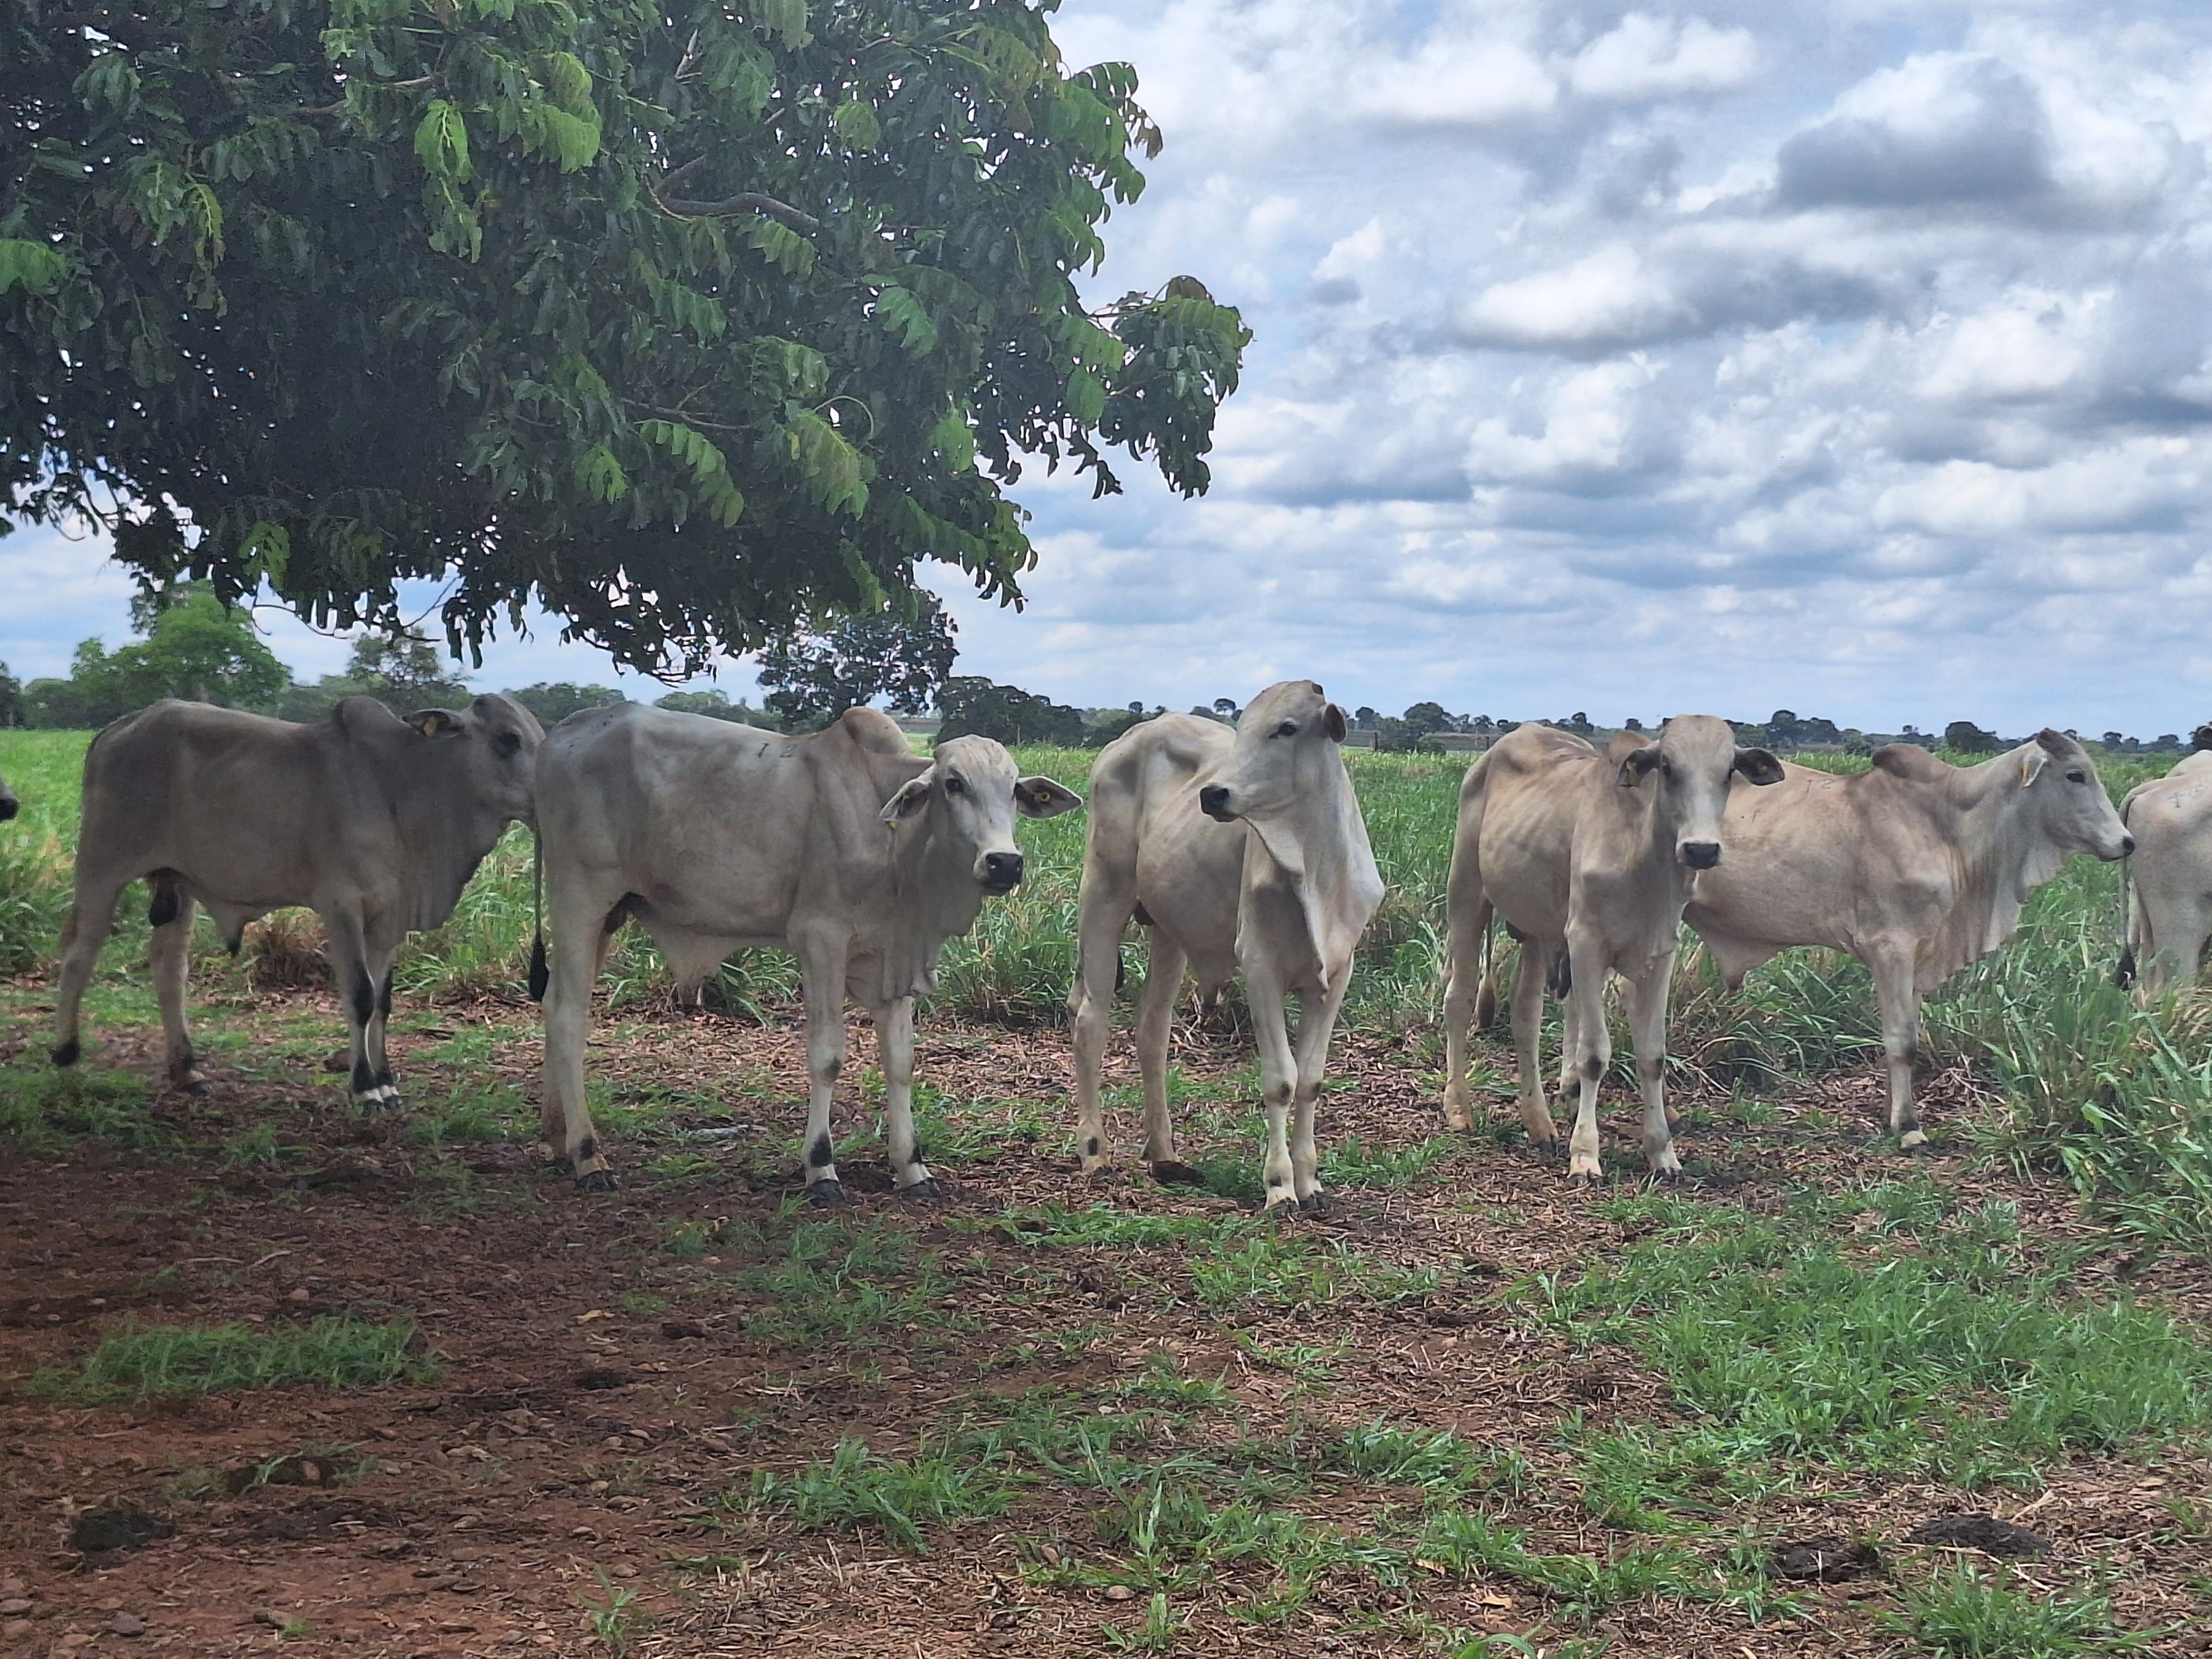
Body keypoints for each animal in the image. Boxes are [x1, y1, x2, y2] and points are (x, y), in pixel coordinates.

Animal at [53, 695, 544, 1110]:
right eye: (509, 739)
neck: (402, 785)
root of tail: (119, 727)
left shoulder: (389, 916)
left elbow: (383, 1001)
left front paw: (386, 1080)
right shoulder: (341, 905)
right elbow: (361, 996)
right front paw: (365, 1087)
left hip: (177, 884)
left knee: (169, 969)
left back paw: (186, 1069)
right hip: (102, 867)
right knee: (79, 954)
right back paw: (65, 1053)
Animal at [539, 703, 1084, 1194]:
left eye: (1013, 790)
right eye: (954, 784)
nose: (1004, 863)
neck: (891, 835)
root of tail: (563, 732)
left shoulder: (892, 956)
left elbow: (901, 1062)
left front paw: (912, 1167)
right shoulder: (820, 939)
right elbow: (827, 1057)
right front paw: (821, 1168)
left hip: (609, 915)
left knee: (552, 1005)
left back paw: (556, 1138)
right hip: (580, 899)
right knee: (568, 1016)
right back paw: (588, 1155)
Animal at [1066, 681, 1380, 1212]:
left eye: (1287, 728)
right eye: (1244, 727)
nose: (1213, 793)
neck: (1314, 870)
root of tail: (1131, 736)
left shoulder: (1337, 974)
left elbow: (1311, 1080)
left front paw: (1311, 1182)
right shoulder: (1260, 967)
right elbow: (1281, 1080)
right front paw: (1279, 1186)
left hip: (1169, 929)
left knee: (1152, 1031)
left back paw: (1165, 1155)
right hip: (1103, 892)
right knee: (1091, 1018)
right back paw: (1094, 1151)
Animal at [1681, 734, 2132, 1150]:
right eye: (2075, 775)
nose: (2127, 842)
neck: (1949, 826)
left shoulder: (1919, 954)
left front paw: (1892, 1116)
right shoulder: (1890, 947)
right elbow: (1903, 1042)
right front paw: (1911, 1127)